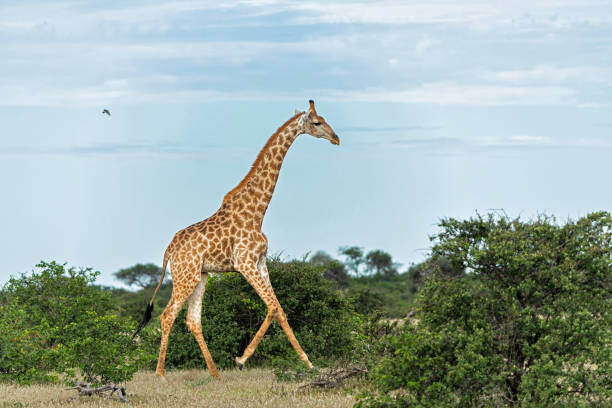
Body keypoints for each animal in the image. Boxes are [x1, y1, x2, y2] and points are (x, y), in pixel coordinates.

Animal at [133, 100, 340, 380]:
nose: (336, 138)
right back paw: (161, 375)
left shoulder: (261, 263)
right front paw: (241, 359)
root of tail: (168, 251)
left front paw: (309, 364)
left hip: (200, 276)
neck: (257, 212)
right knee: (167, 315)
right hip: (186, 276)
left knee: (192, 320)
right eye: (317, 123)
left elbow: (280, 309)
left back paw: (215, 374)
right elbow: (272, 307)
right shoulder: (245, 263)